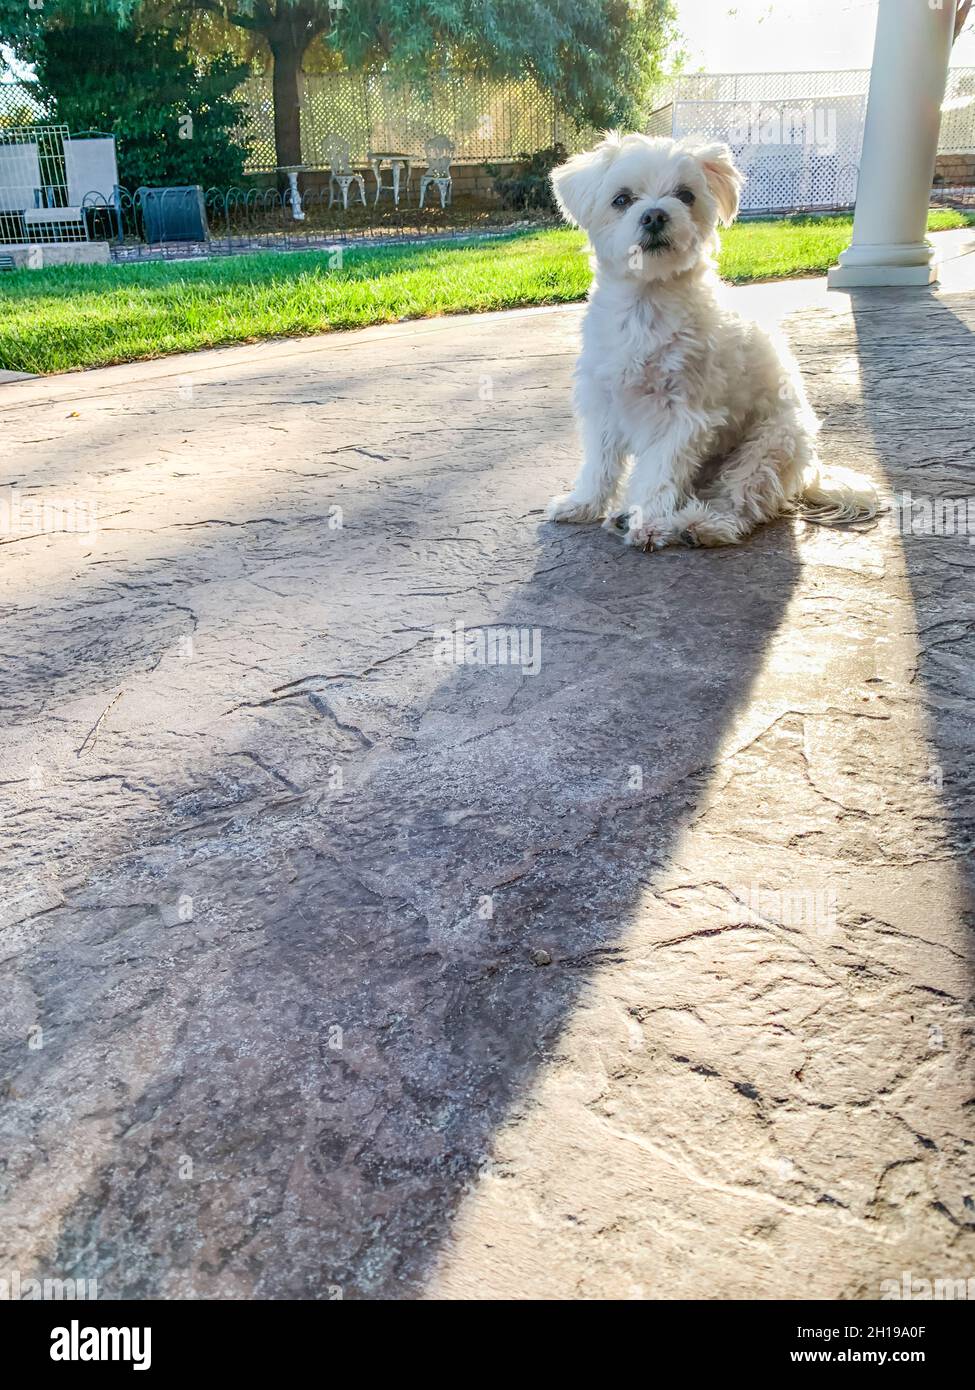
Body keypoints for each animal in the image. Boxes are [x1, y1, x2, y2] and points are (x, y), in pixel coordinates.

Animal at [548, 134, 873, 547]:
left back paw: (702, 524)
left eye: (685, 195)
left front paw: (648, 522)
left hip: (769, 445)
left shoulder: (683, 416)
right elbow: (600, 466)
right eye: (621, 199)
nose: (655, 215)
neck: (645, 305)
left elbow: (658, 474)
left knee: (742, 499)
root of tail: (811, 470)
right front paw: (583, 504)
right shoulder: (604, 405)